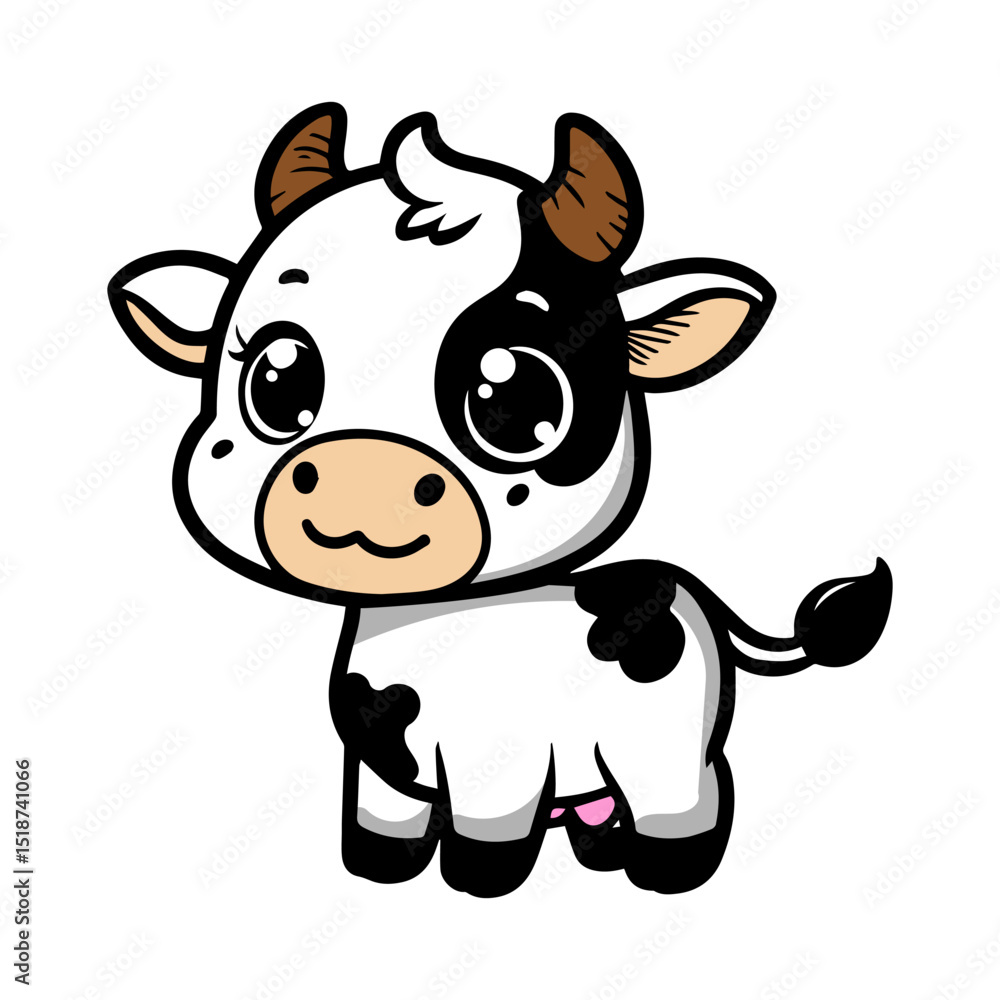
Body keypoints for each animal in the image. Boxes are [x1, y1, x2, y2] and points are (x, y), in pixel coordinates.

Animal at [108, 103, 892, 897]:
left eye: (514, 399)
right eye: (277, 378)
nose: (365, 473)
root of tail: (686, 591)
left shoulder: (502, 764)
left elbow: (491, 831)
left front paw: (479, 882)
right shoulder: (380, 774)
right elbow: (382, 824)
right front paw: (381, 870)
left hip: (667, 751)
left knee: (687, 801)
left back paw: (665, 870)